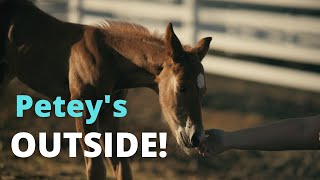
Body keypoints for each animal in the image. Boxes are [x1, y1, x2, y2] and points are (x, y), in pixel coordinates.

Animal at [1, 0, 212, 179]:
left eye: (203, 92)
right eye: (182, 87)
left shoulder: (109, 114)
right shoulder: (83, 109)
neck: (111, 59)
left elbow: (122, 167)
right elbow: (96, 169)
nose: (196, 137)